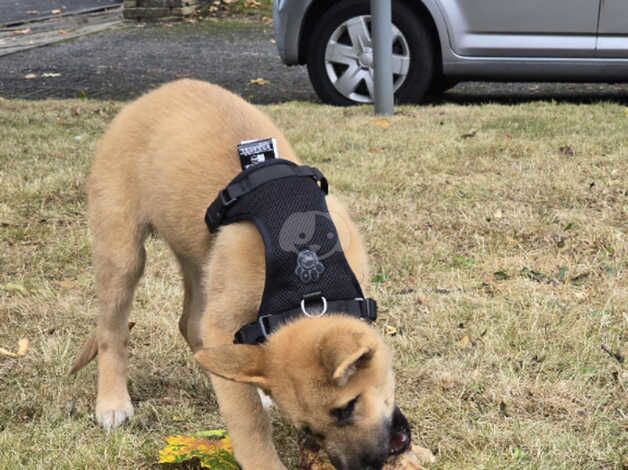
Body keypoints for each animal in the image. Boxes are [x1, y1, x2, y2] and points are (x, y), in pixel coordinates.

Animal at [70, 81, 412, 470]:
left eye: (347, 408)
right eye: (315, 426)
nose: (361, 468)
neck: (306, 286)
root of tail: (146, 97)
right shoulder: (223, 321)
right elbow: (247, 420)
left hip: (201, 259)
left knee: (190, 324)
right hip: (123, 255)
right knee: (112, 331)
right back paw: (112, 402)